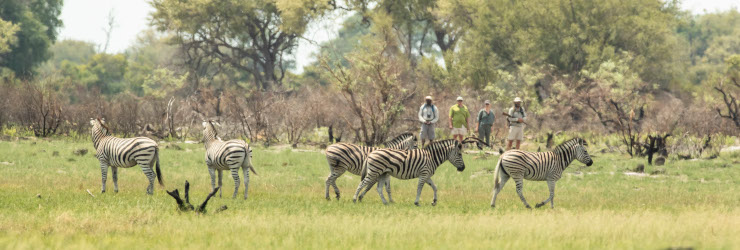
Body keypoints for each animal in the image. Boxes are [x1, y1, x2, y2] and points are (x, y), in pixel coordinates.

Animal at [352, 137, 486, 205]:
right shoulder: (423, 174)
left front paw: (434, 201)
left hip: (382, 173)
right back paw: (354, 199)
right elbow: (419, 188)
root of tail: (371, 154)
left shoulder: (427, 175)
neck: (432, 157)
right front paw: (417, 202)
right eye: (459, 154)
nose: (463, 168)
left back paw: (385, 202)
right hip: (374, 171)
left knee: (378, 188)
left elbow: (435, 187)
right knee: (362, 183)